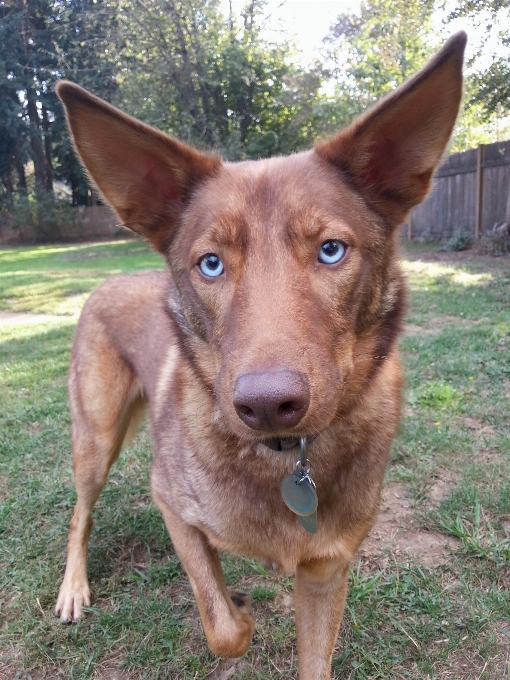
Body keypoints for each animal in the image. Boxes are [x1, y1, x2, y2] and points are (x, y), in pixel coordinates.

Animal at [54, 33, 466, 680]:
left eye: (331, 250)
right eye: (211, 264)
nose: (268, 404)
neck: (285, 461)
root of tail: (105, 283)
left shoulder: (326, 570)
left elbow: (309, 658)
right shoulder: (172, 504)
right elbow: (224, 627)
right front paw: (238, 607)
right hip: (95, 440)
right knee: (80, 513)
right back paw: (73, 588)